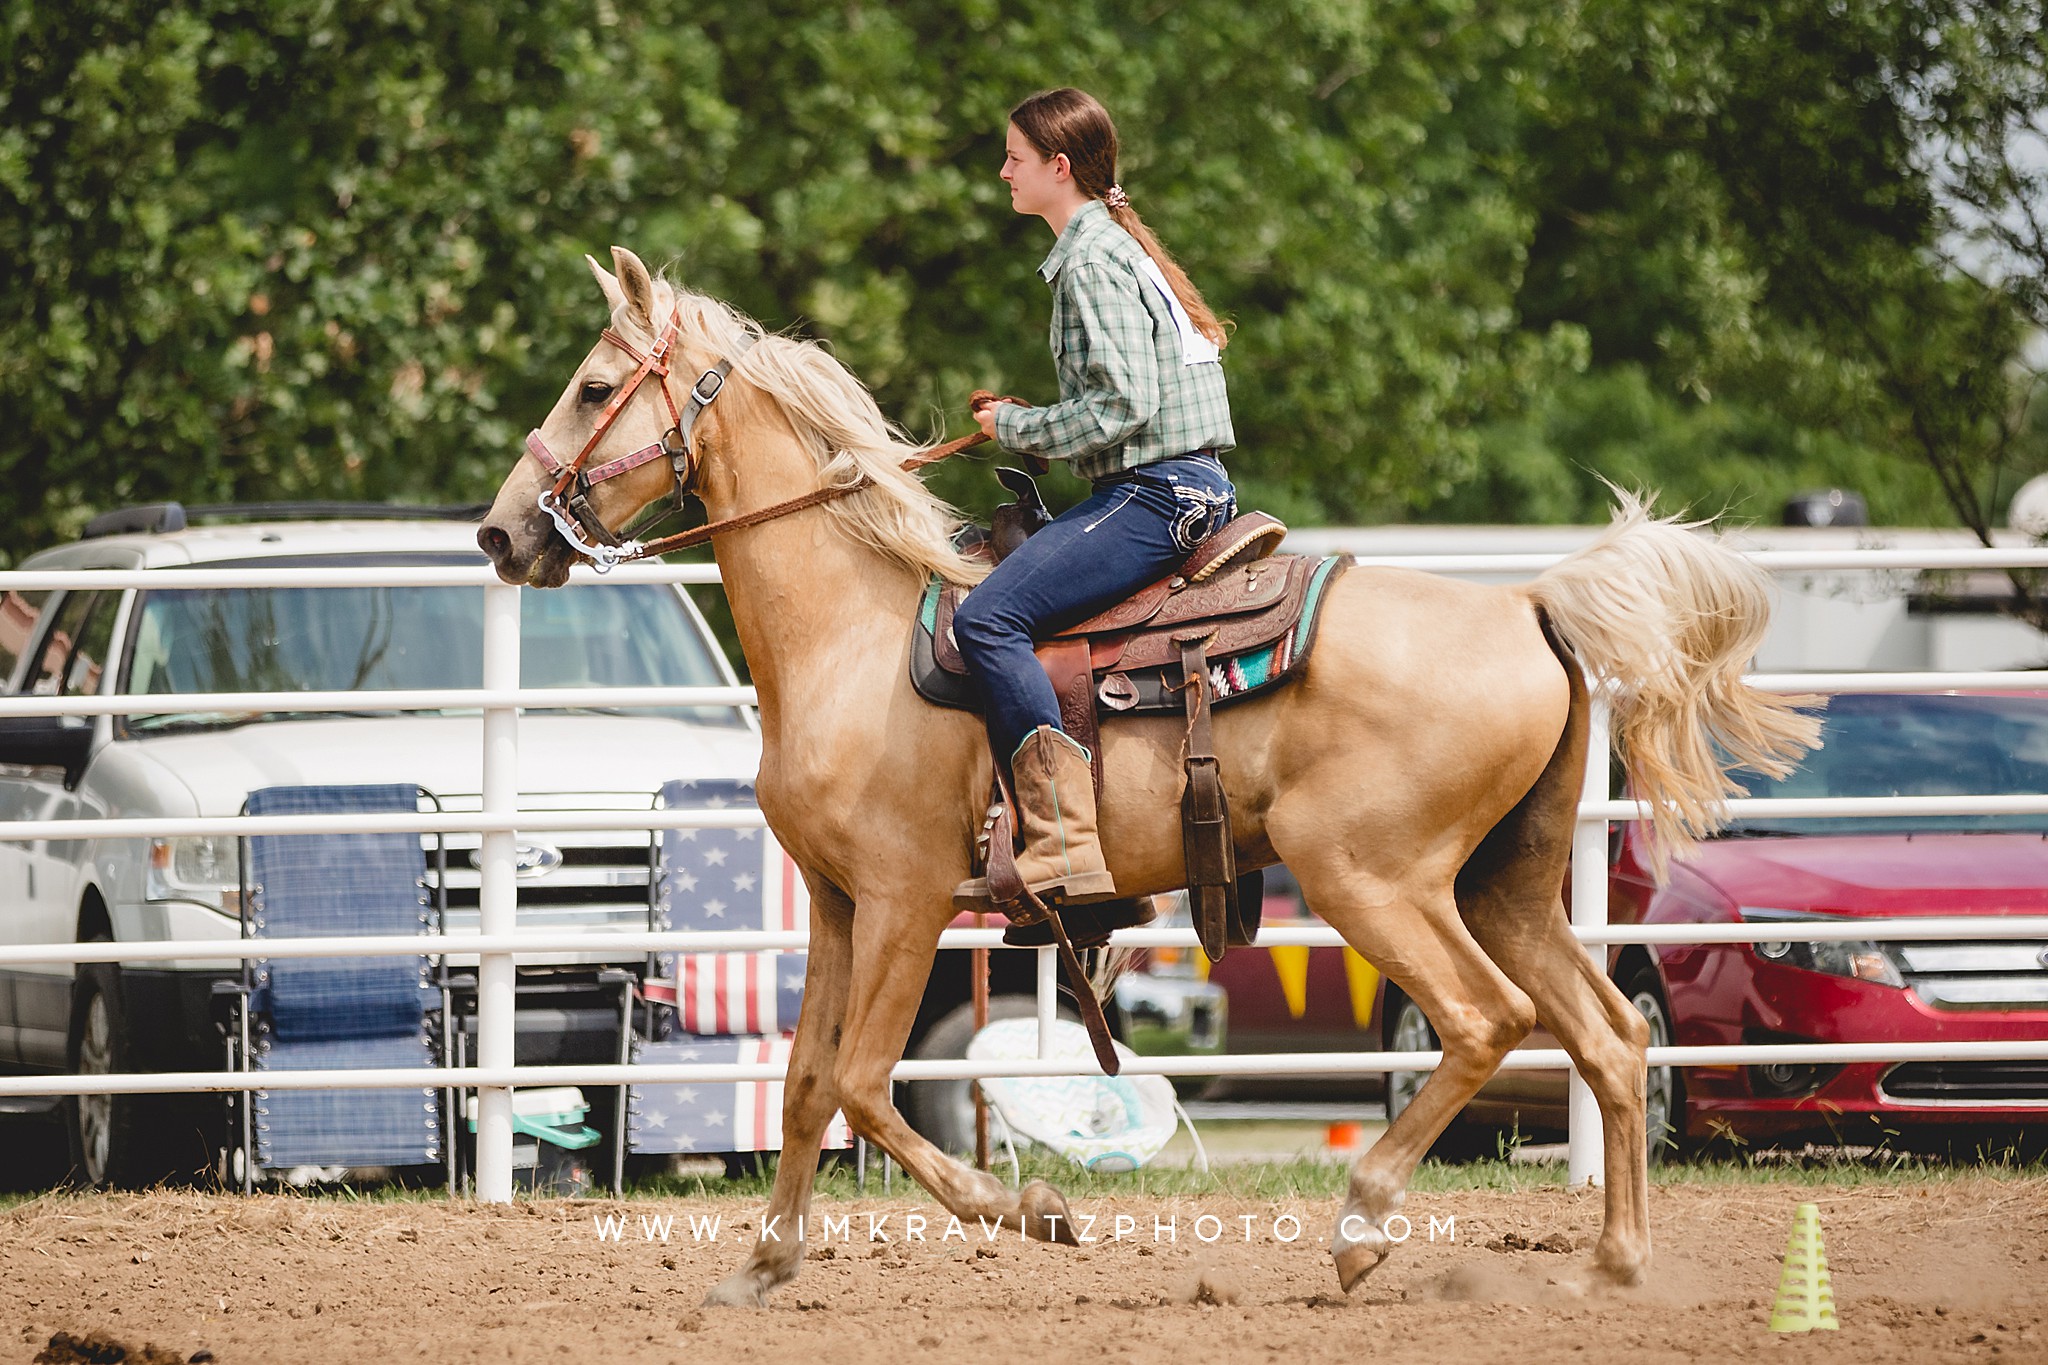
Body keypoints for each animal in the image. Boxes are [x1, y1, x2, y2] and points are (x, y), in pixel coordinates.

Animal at [483, 245, 1826, 1301]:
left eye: (594, 385)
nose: (500, 532)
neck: (851, 636)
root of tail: (1525, 609)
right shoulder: (833, 903)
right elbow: (808, 1086)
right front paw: (761, 1267)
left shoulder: (908, 899)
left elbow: (865, 1085)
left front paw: (1032, 1211)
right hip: (1506, 880)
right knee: (1608, 1036)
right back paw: (1610, 1265)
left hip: (1372, 877)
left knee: (1482, 1020)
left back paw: (1359, 1230)